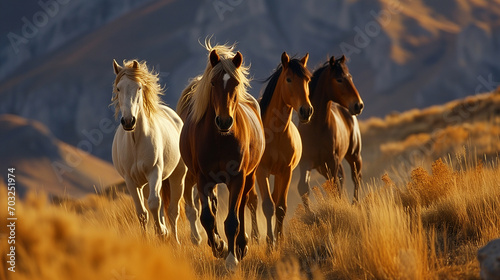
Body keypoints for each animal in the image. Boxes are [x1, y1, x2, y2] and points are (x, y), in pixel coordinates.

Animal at [111, 59, 201, 245]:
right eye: (118, 88)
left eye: (138, 87)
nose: (128, 121)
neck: (135, 141)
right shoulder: (130, 180)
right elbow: (142, 212)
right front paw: (148, 238)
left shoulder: (155, 172)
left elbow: (154, 204)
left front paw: (161, 233)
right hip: (145, 184)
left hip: (177, 178)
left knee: (173, 210)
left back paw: (174, 240)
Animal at [177, 42, 264, 272]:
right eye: (213, 83)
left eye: (235, 83)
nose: (224, 121)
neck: (219, 139)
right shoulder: (202, 178)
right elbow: (207, 217)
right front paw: (218, 247)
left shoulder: (237, 178)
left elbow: (232, 220)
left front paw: (232, 258)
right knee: (214, 207)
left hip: (249, 177)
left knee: (242, 206)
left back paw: (241, 246)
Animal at [247, 51, 312, 246]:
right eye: (289, 79)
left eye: (308, 80)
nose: (306, 111)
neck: (275, 134)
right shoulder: (261, 171)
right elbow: (267, 206)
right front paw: (270, 242)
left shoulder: (286, 171)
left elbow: (280, 206)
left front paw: (280, 238)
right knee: (251, 201)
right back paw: (254, 236)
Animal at [296, 55, 364, 211]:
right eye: (339, 79)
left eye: (350, 77)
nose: (358, 105)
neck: (316, 129)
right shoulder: (306, 162)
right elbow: (303, 187)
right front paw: (309, 214)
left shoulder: (332, 160)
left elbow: (335, 186)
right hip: (323, 167)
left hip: (354, 155)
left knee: (355, 177)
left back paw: (355, 203)